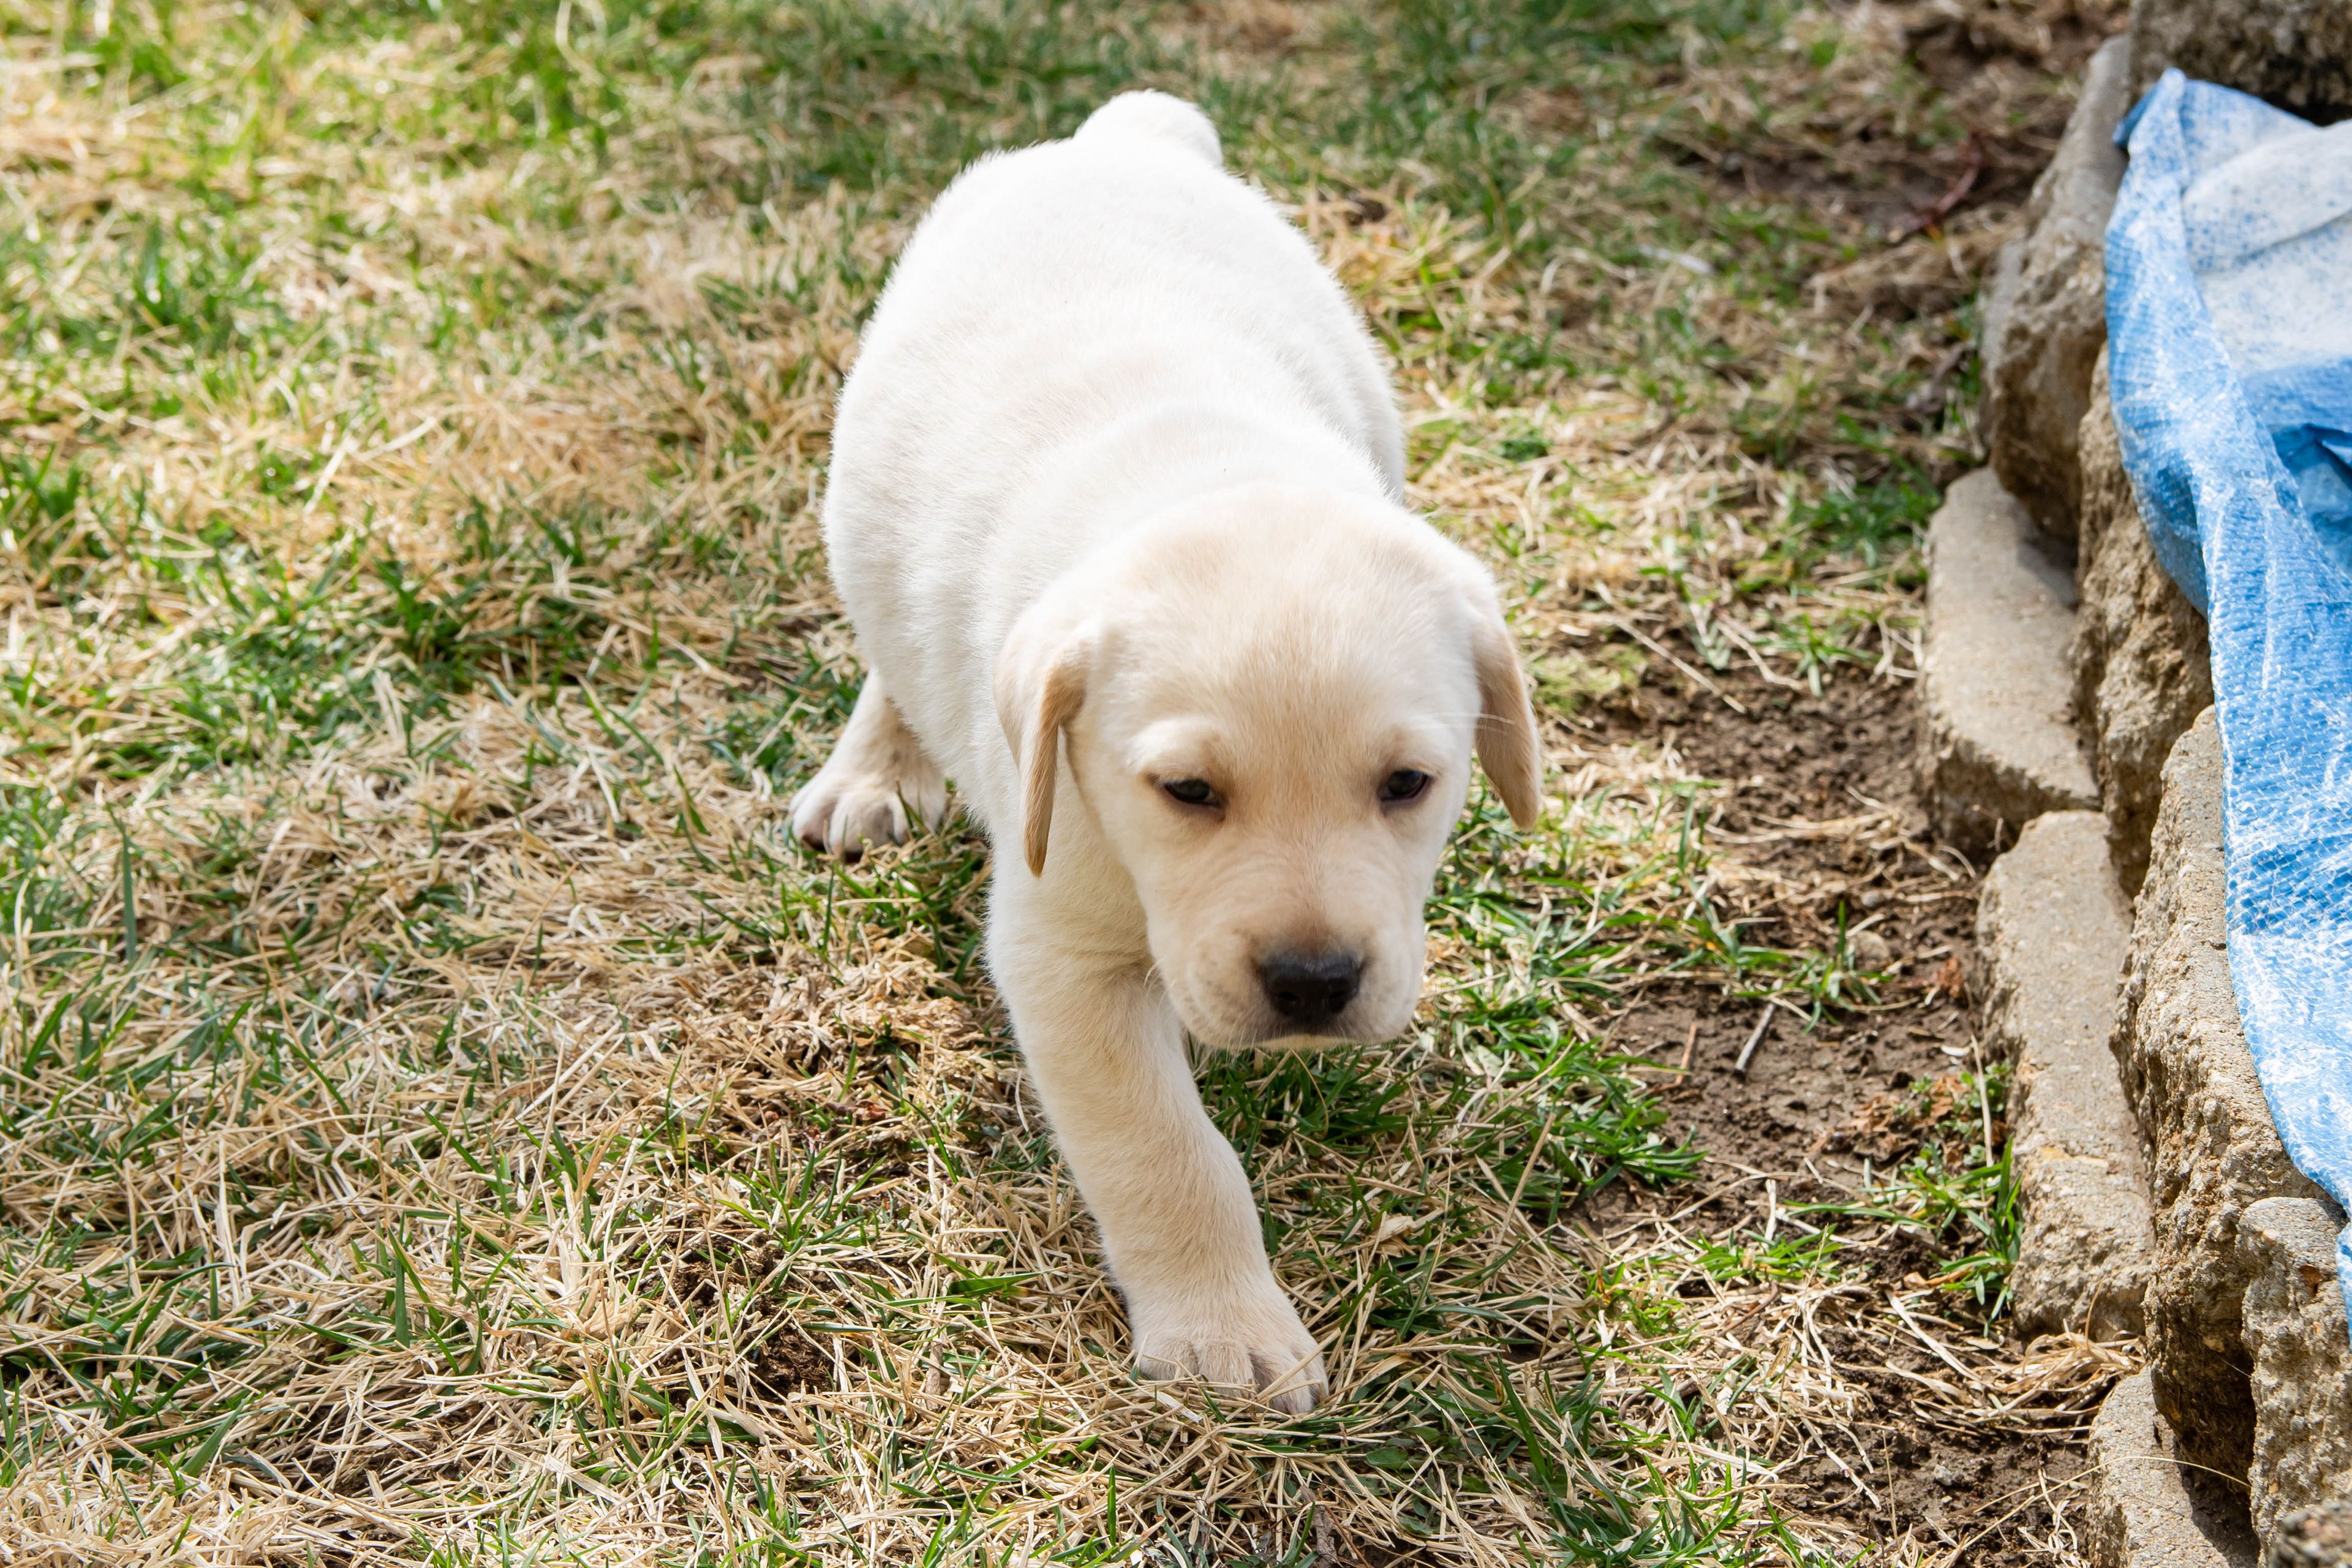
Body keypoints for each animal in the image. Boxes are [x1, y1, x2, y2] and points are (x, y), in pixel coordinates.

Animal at [790, 91, 1543, 1412]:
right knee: (892, 647)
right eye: (1186, 791)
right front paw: (1221, 1327)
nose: (1313, 982)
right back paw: (876, 766)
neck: (1206, 477)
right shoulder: (1061, 949)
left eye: (1409, 785)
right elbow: (1165, 1147)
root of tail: (1123, 139)